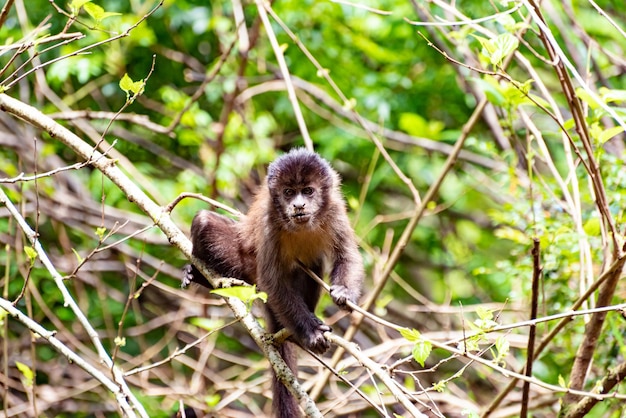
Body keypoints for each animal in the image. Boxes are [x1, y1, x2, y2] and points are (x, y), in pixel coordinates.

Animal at [180, 149, 364, 416]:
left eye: (307, 191)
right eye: (288, 192)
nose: (298, 204)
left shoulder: (335, 209)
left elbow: (348, 255)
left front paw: (344, 293)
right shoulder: (270, 220)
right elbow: (272, 281)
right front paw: (310, 333)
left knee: (315, 262)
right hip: (244, 266)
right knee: (204, 221)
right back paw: (200, 276)